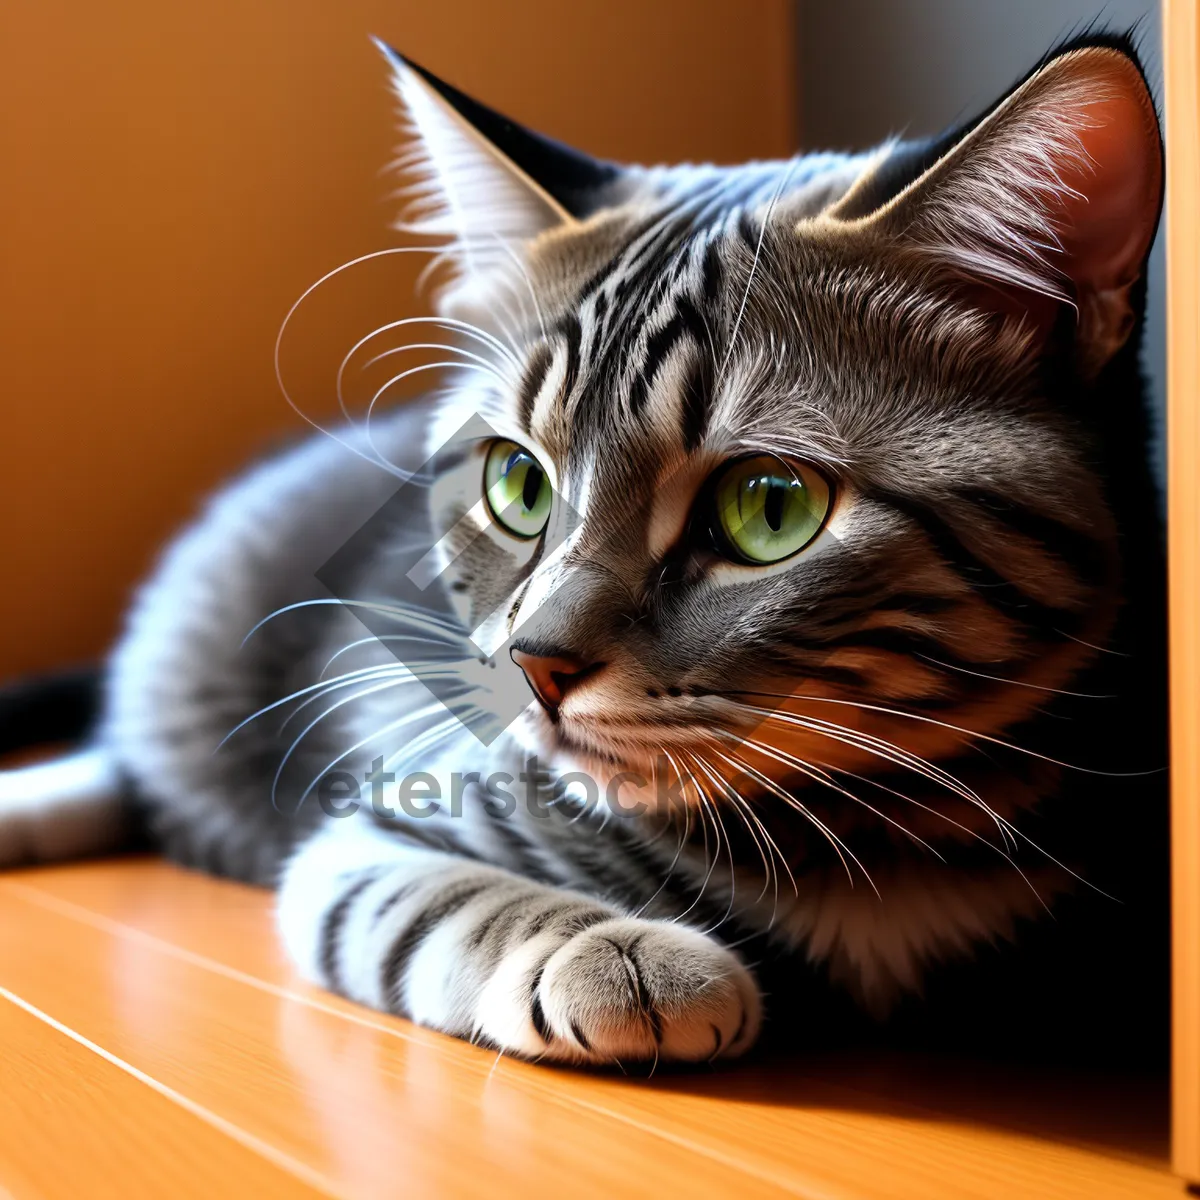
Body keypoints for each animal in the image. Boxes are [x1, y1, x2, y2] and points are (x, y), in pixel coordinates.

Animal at [0, 35, 1166, 1070]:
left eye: (770, 508)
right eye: (520, 485)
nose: (536, 665)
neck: (870, 829)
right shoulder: (377, 835)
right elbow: (438, 895)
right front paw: (611, 949)